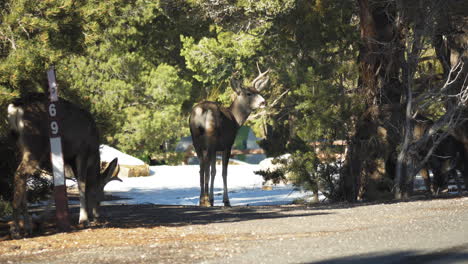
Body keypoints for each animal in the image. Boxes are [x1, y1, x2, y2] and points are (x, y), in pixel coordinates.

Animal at [7, 93, 119, 237]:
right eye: (100, 195)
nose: (96, 215)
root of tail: (15, 107)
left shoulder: (65, 157)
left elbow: (60, 185)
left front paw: (40, 220)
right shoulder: (82, 151)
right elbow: (81, 183)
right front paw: (84, 219)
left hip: (20, 145)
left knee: (22, 176)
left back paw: (27, 226)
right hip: (35, 143)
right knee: (20, 173)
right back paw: (15, 229)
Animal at [189, 66, 270, 206]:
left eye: (257, 91)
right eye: (248, 93)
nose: (263, 102)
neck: (236, 121)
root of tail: (201, 111)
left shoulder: (216, 148)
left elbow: (214, 171)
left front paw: (212, 199)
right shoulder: (227, 145)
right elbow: (223, 172)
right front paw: (225, 200)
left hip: (196, 139)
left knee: (201, 166)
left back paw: (202, 199)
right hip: (210, 137)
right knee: (206, 166)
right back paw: (205, 200)